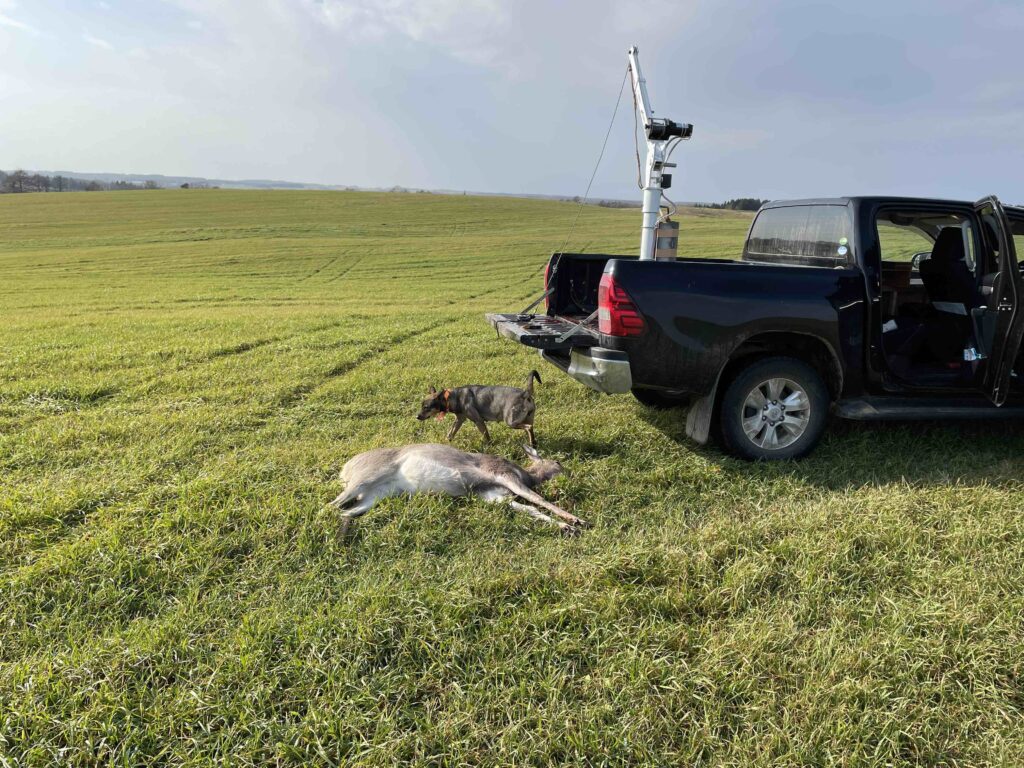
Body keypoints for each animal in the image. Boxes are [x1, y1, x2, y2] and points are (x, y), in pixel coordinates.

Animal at [323, 442, 589, 536]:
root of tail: (344, 469)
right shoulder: (504, 476)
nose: (571, 473)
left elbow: (530, 508)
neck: (524, 473)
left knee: (344, 511)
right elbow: (537, 499)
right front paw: (577, 520)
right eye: (559, 463)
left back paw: (342, 540)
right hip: (364, 480)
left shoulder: (493, 495)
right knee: (328, 506)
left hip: (374, 496)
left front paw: (566, 526)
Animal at [415, 370, 544, 448]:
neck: (454, 396)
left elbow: (486, 436)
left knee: (528, 427)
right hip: (526, 418)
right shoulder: (459, 420)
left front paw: (489, 447)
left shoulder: (478, 421)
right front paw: (445, 443)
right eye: (421, 406)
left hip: (511, 422)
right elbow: (450, 433)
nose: (417, 416)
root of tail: (525, 393)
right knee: (530, 429)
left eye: (426, 407)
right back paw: (533, 444)